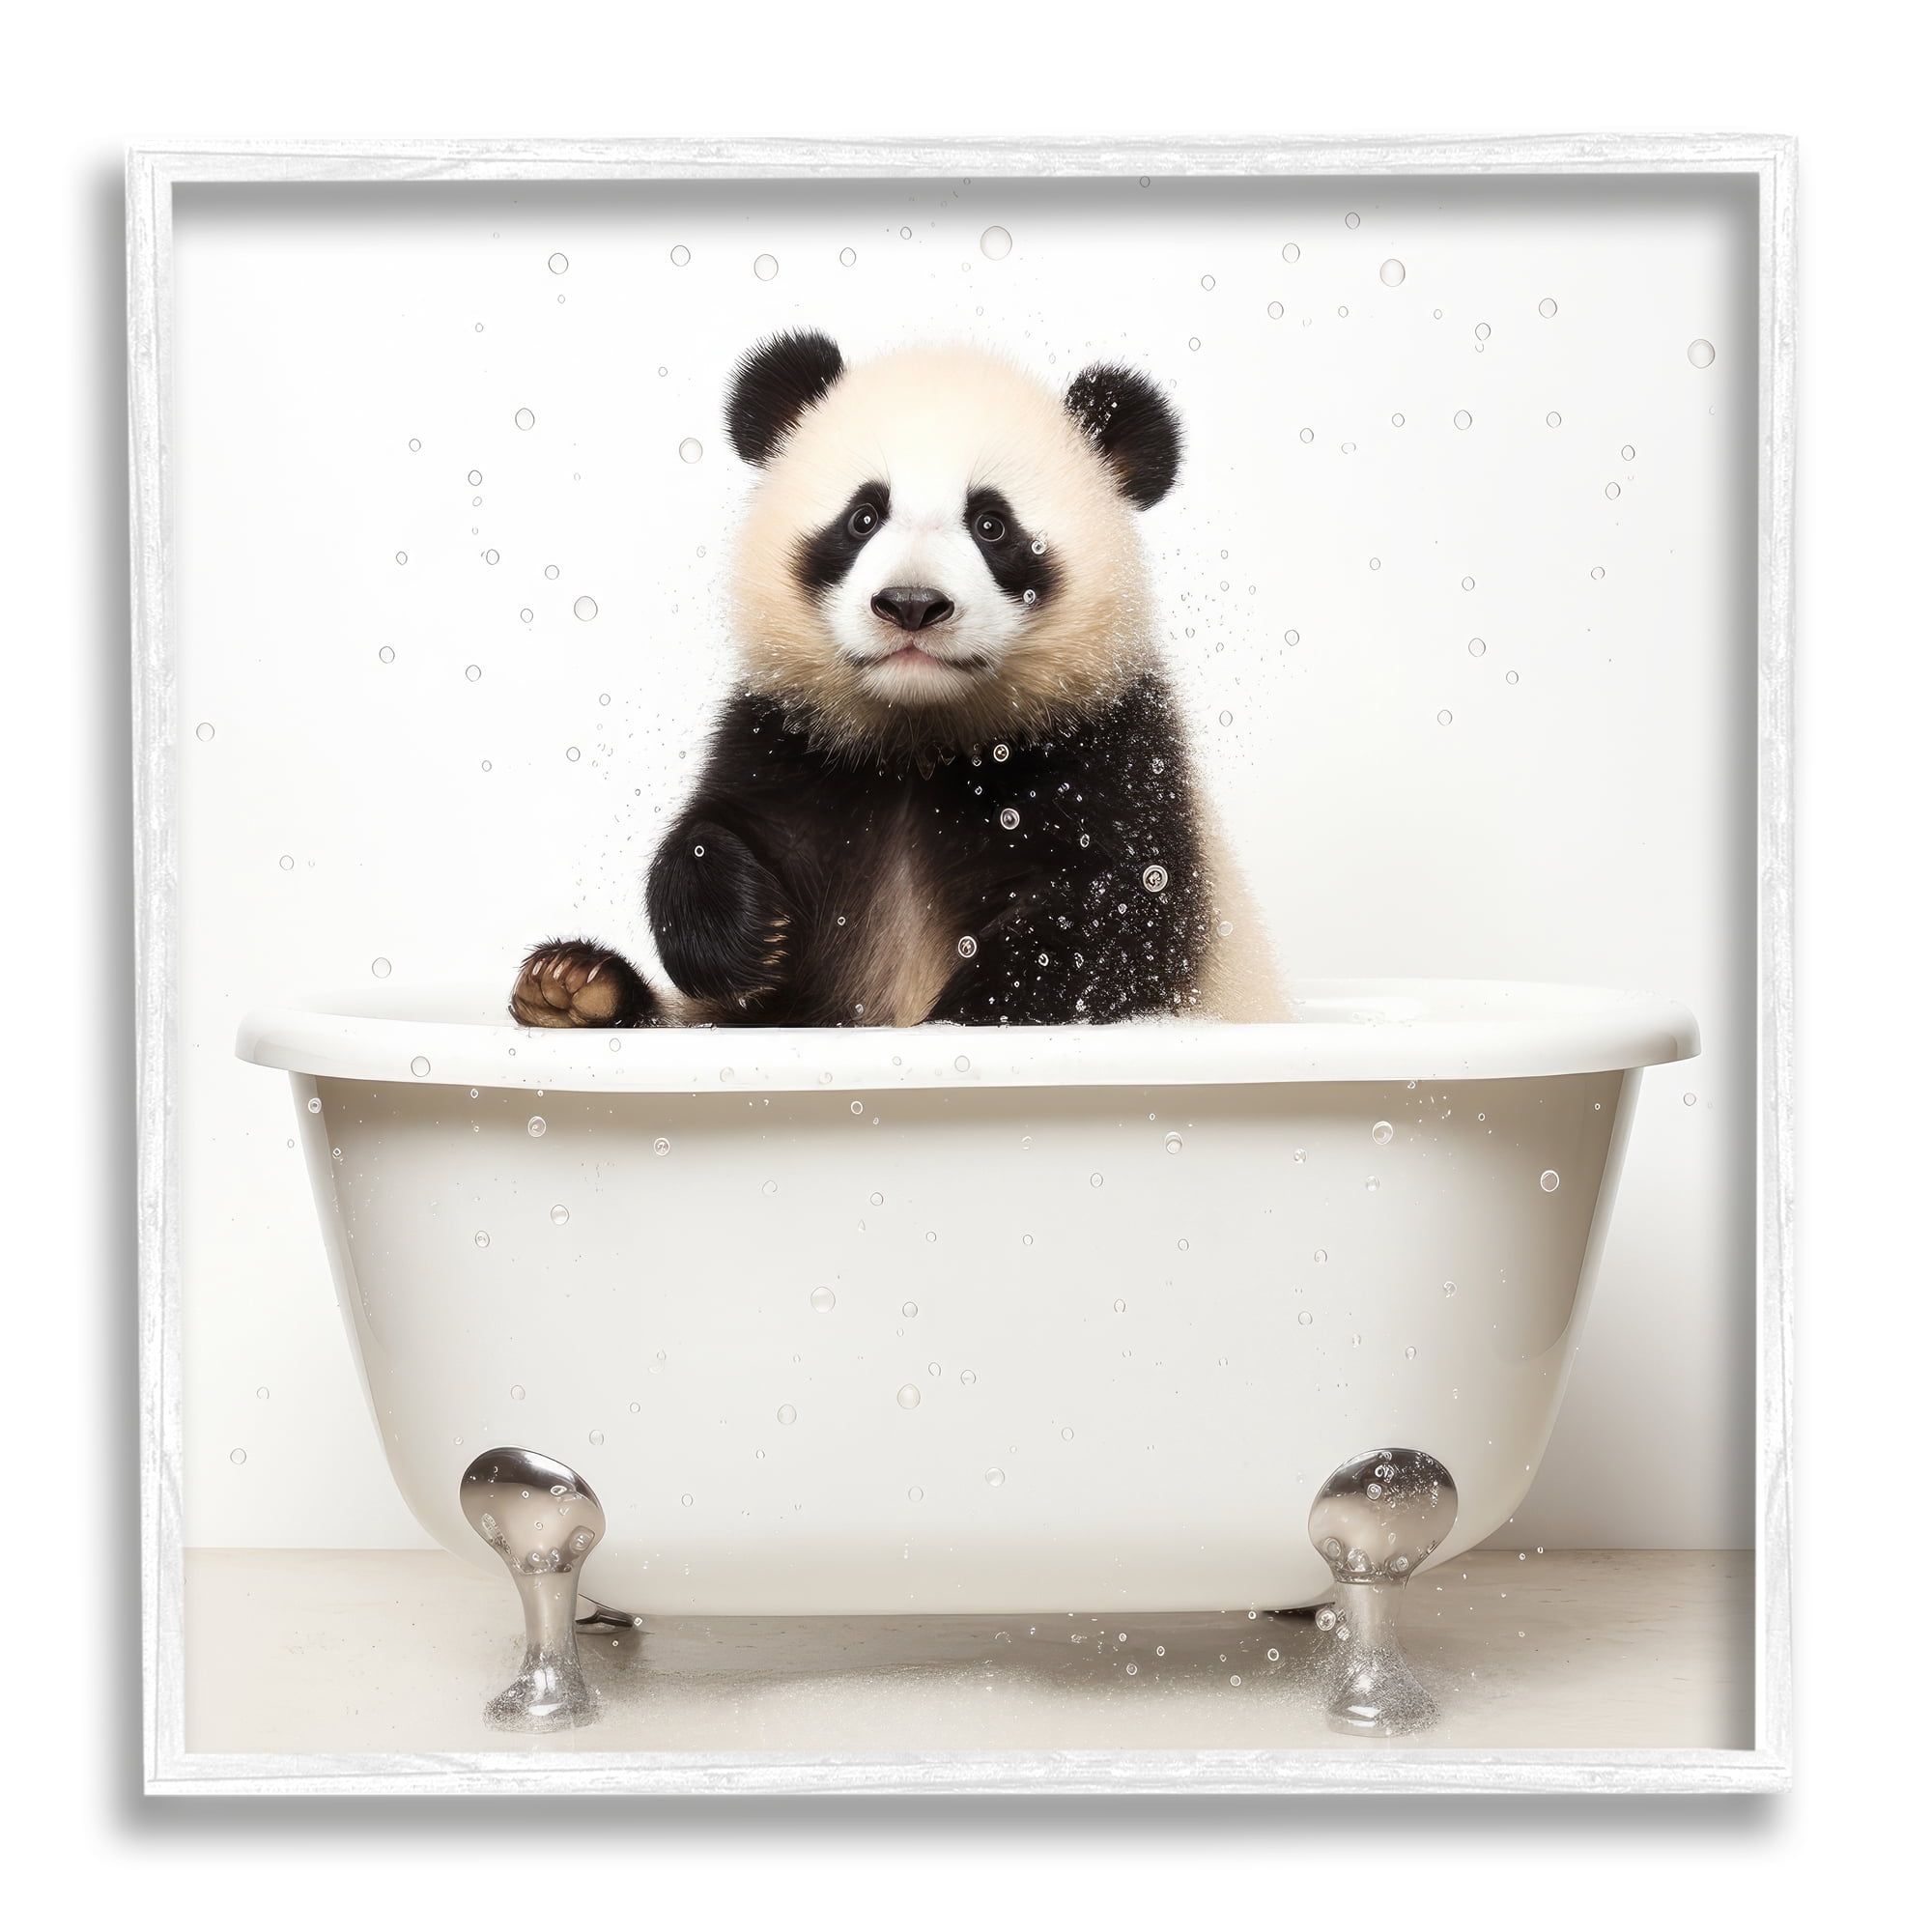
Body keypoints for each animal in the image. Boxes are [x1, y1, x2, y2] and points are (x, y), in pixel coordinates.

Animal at [509, 331, 1280, 1031]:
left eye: (992, 524)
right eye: (863, 517)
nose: (912, 604)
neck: (919, 739)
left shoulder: (1106, 748)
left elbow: (1120, 920)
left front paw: (965, 1013)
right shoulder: (791, 733)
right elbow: (716, 830)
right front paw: (748, 940)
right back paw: (573, 986)